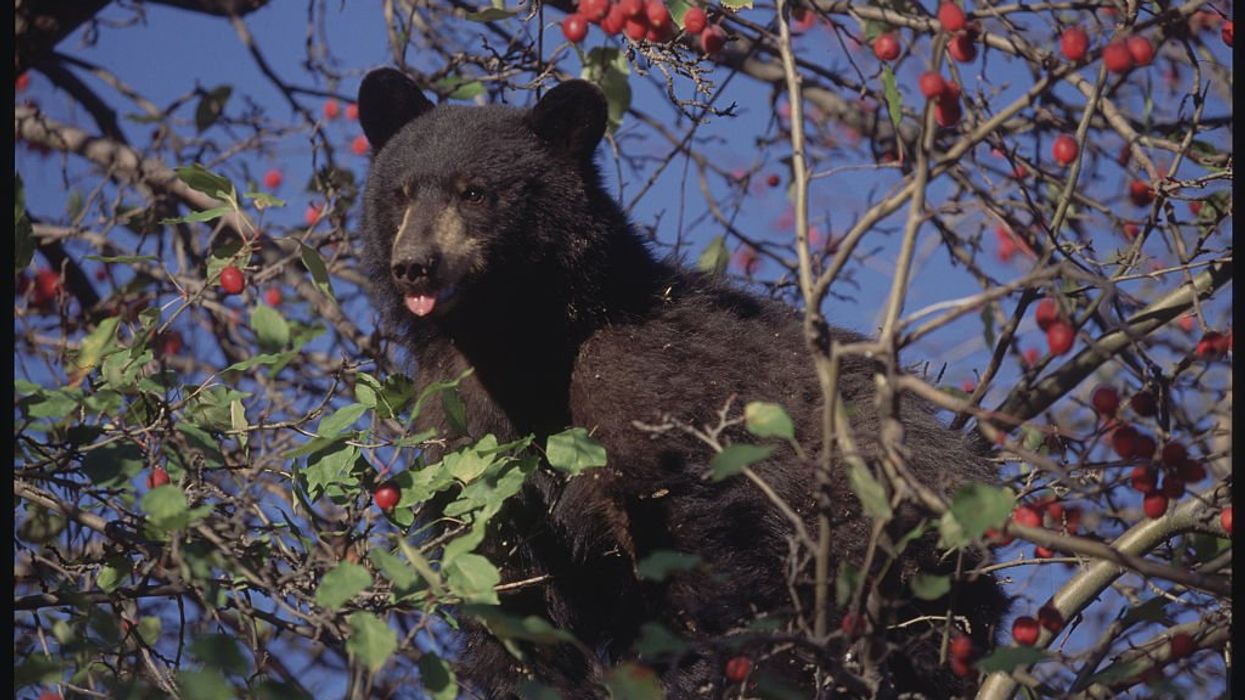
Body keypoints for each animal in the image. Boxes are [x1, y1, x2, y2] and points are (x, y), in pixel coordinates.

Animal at [356, 68, 1005, 698]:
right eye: (401, 192)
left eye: (475, 191)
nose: (415, 265)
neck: (518, 347)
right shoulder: (463, 429)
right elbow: (505, 581)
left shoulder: (636, 383)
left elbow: (695, 533)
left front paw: (697, 668)